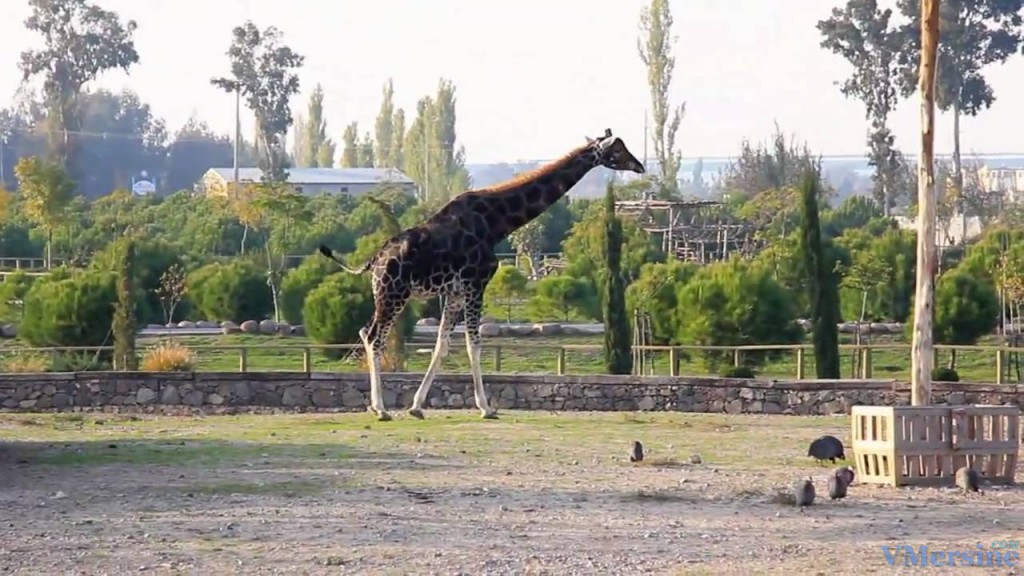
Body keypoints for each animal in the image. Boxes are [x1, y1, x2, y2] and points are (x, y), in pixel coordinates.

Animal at [319, 127, 643, 420]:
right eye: (618, 150)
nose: (639, 165)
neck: (497, 223)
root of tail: (374, 259)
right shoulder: (476, 284)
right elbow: (473, 344)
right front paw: (486, 407)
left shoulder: (454, 291)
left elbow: (442, 345)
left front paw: (417, 406)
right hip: (394, 293)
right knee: (375, 337)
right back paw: (382, 409)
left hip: (385, 294)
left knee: (365, 331)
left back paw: (376, 405)